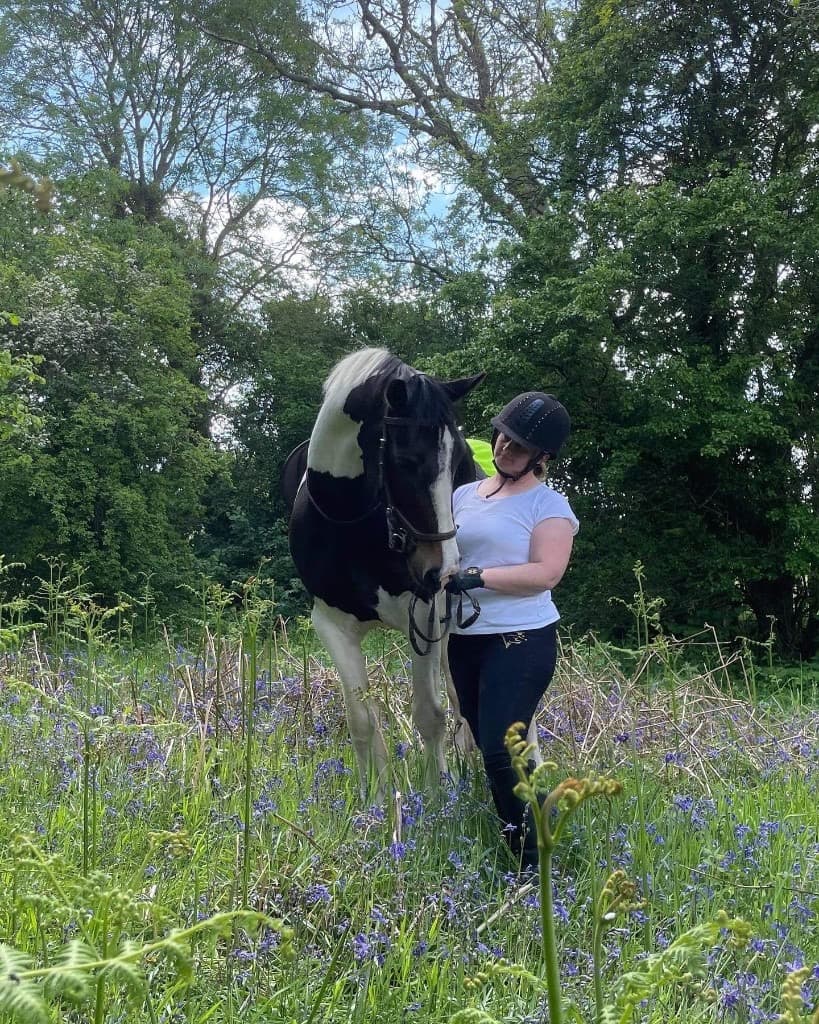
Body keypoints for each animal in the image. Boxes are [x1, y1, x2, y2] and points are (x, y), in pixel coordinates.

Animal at [282, 347, 484, 797]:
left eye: (459, 461)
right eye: (406, 461)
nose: (445, 570)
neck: (353, 522)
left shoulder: (426, 614)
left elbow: (430, 715)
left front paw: (438, 795)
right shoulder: (331, 624)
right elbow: (362, 721)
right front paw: (372, 799)